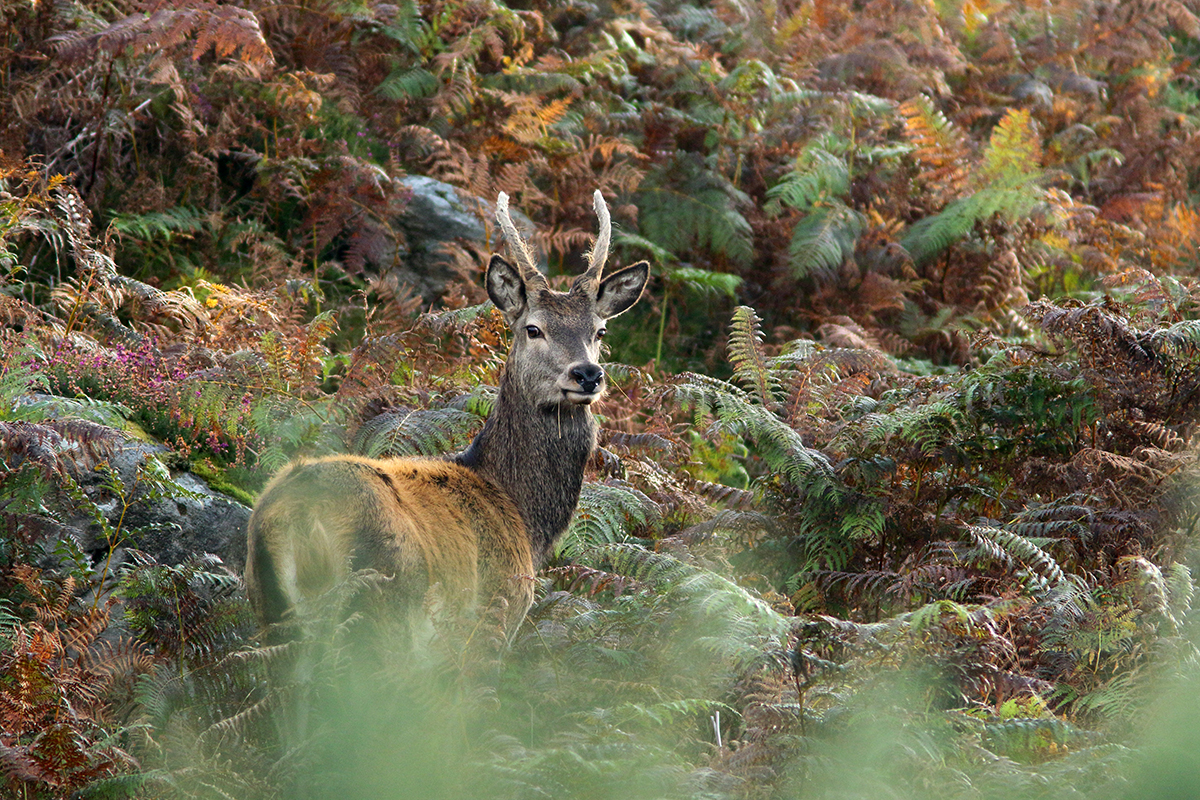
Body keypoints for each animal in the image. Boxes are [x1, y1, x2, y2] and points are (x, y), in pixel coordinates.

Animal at [244, 191, 652, 642]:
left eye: (600, 331)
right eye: (533, 329)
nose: (588, 374)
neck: (523, 518)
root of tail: (292, 519)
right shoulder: (494, 618)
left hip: (273, 616)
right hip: (383, 607)